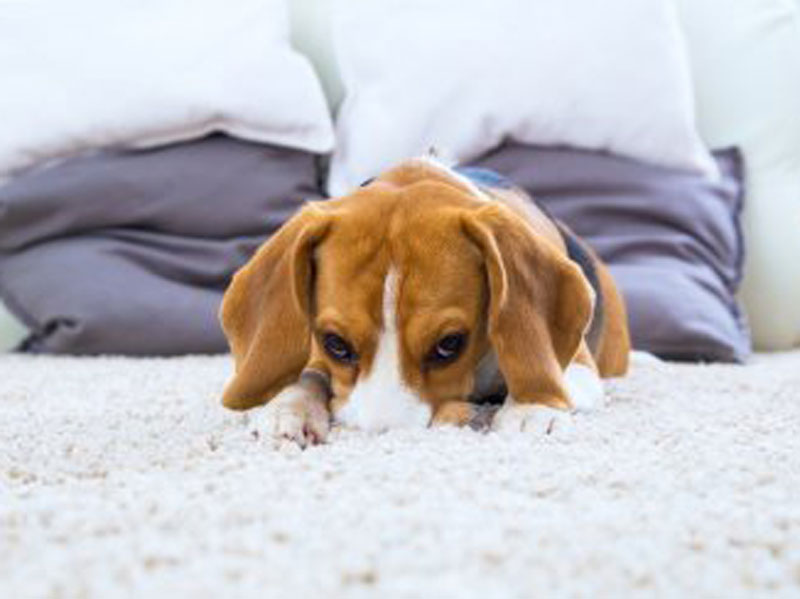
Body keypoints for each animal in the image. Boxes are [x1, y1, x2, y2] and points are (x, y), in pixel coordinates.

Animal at [219, 157, 632, 448]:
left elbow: (540, 372)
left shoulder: (580, 369)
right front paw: (287, 408)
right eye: (335, 344)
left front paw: (532, 408)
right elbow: (307, 375)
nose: (385, 437)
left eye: (449, 345)